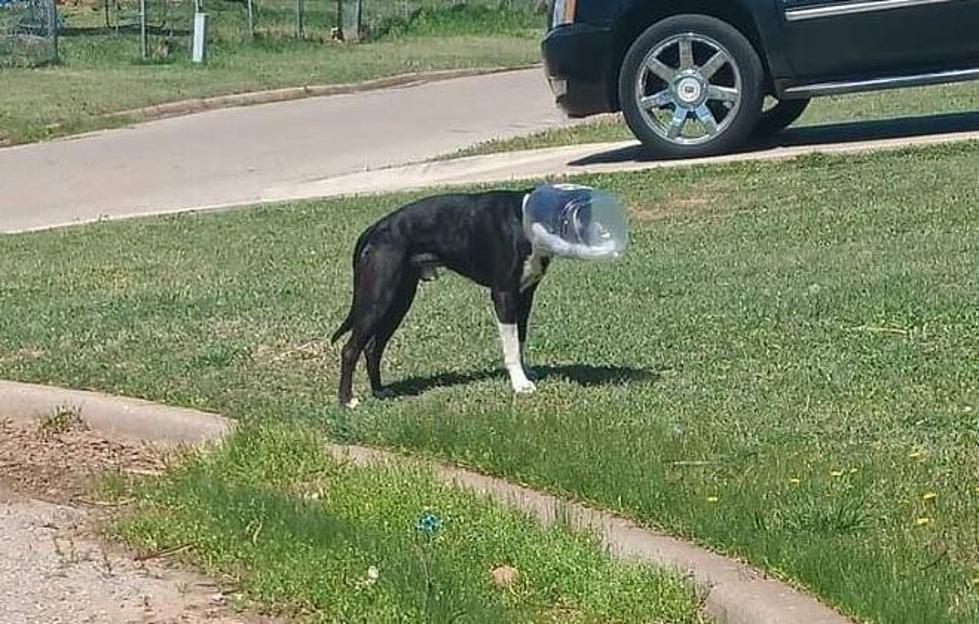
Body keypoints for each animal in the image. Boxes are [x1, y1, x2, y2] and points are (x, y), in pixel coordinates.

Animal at [332, 188, 552, 408]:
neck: (524, 216)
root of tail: (374, 229)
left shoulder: (525, 297)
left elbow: (520, 338)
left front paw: (525, 374)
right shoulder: (504, 295)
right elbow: (511, 344)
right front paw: (520, 384)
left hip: (398, 302)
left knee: (372, 348)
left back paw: (379, 390)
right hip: (377, 300)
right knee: (350, 349)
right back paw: (347, 400)